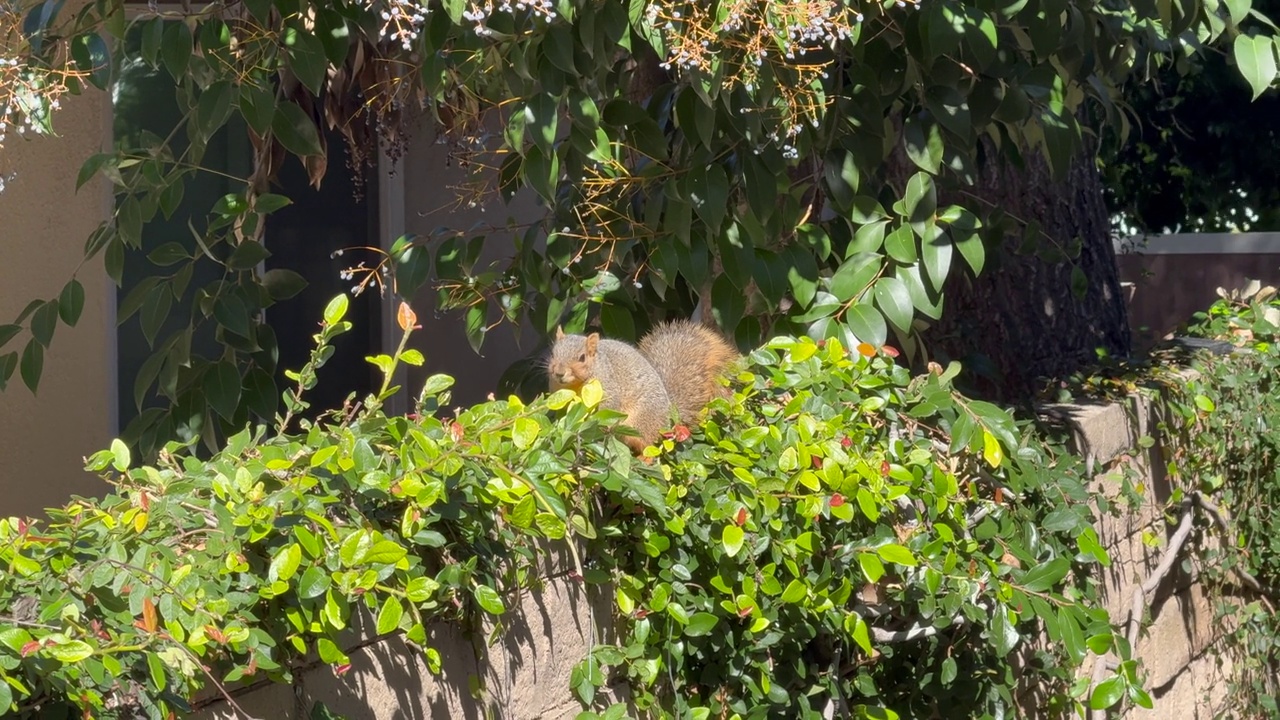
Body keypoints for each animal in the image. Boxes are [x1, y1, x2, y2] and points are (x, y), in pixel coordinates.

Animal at [542, 317, 742, 448]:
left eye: (582, 358)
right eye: (552, 353)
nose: (559, 373)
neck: (574, 385)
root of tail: (669, 415)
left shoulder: (608, 385)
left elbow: (609, 405)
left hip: (640, 423)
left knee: (647, 444)